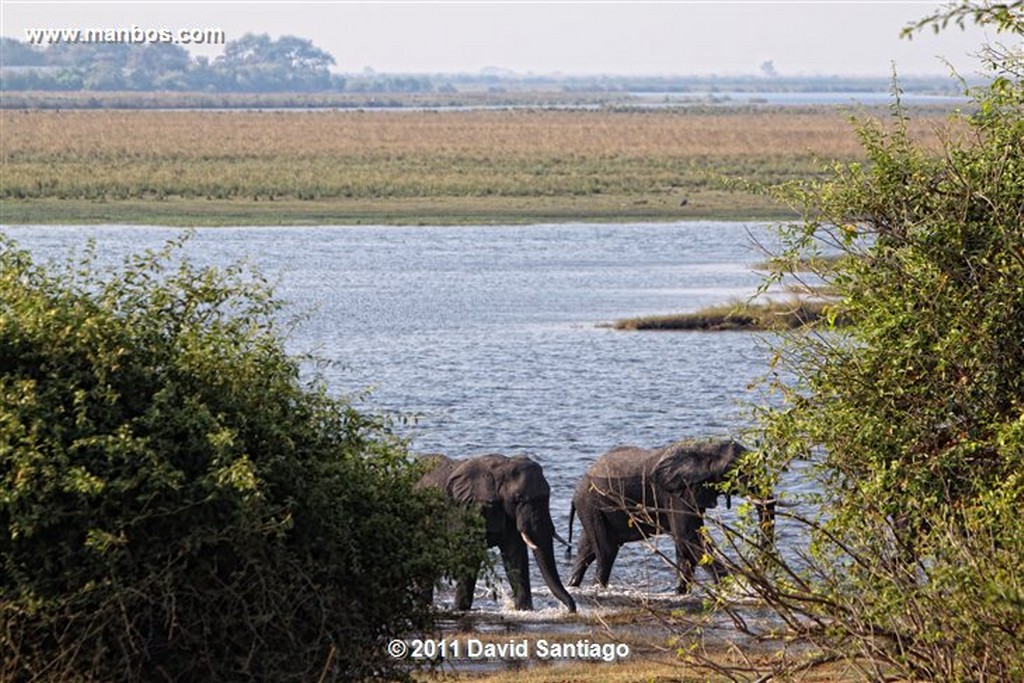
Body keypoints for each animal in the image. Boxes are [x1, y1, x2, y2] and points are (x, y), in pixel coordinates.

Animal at [415, 454, 577, 614]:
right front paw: (460, 609)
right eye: (518, 498)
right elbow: (470, 554)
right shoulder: (468, 510)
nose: (571, 610)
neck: (502, 469)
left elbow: (516, 554)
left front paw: (524, 610)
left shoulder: (508, 515)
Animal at [565, 438, 770, 593]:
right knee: (606, 551)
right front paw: (734, 588)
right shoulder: (676, 493)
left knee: (587, 551)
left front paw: (681, 593)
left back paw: (574, 586)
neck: (705, 448)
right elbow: (689, 537)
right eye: (736, 469)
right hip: (590, 504)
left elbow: (684, 543)